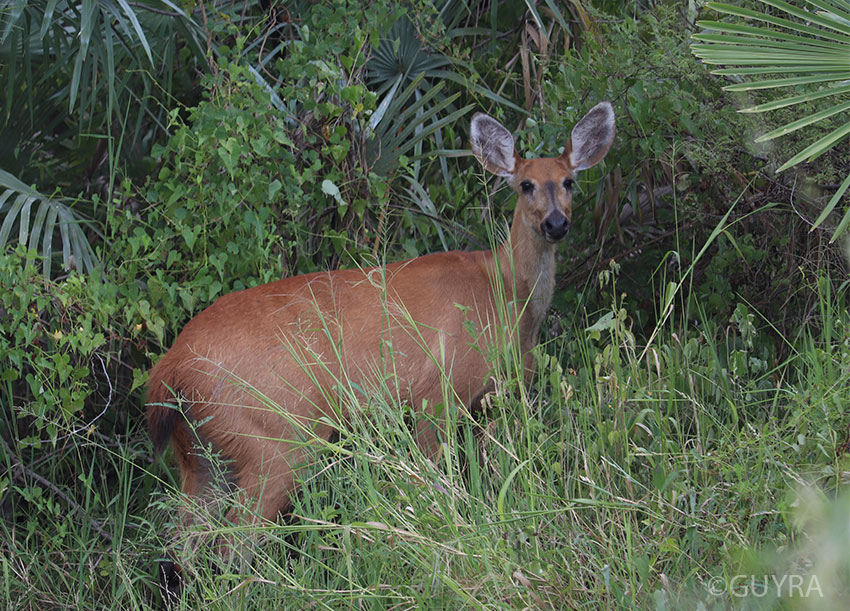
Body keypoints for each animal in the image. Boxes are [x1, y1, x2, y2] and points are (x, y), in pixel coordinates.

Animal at [147, 102, 615, 540]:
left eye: (569, 181)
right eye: (525, 185)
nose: (556, 223)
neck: (506, 293)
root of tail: (171, 367)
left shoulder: (494, 398)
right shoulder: (438, 391)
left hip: (202, 452)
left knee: (185, 539)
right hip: (274, 436)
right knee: (236, 537)